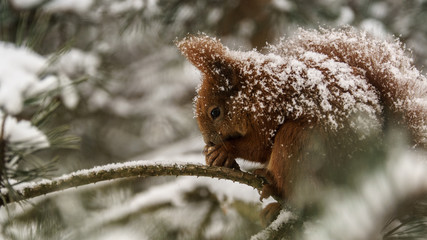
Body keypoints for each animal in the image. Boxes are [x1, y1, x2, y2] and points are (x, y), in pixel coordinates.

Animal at [176, 27, 426, 221]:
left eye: (215, 112)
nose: (208, 140)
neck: (254, 90)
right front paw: (214, 156)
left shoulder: (269, 111)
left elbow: (260, 146)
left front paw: (224, 151)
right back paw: (274, 208)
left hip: (297, 140)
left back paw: (271, 185)